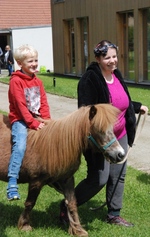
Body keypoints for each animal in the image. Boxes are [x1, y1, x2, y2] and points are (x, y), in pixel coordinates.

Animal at [0, 104, 124, 237]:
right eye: (99, 129)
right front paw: (24, 225)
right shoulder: (36, 181)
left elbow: (72, 203)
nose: (120, 154)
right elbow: (30, 202)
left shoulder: (67, 180)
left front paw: (77, 229)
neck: (56, 145)